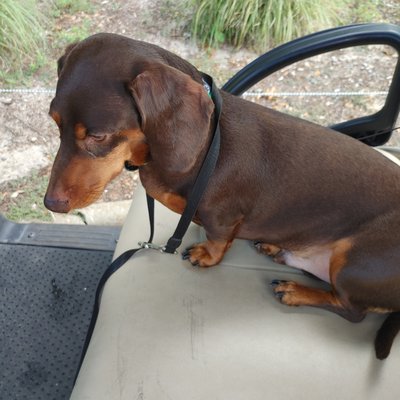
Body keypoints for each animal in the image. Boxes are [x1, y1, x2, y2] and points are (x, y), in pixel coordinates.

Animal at [44, 33, 400, 360]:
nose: (51, 204)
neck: (207, 149)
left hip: (354, 264)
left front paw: (206, 255)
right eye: (55, 123)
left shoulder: (223, 216)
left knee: (351, 310)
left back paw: (296, 291)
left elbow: (217, 240)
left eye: (97, 136)